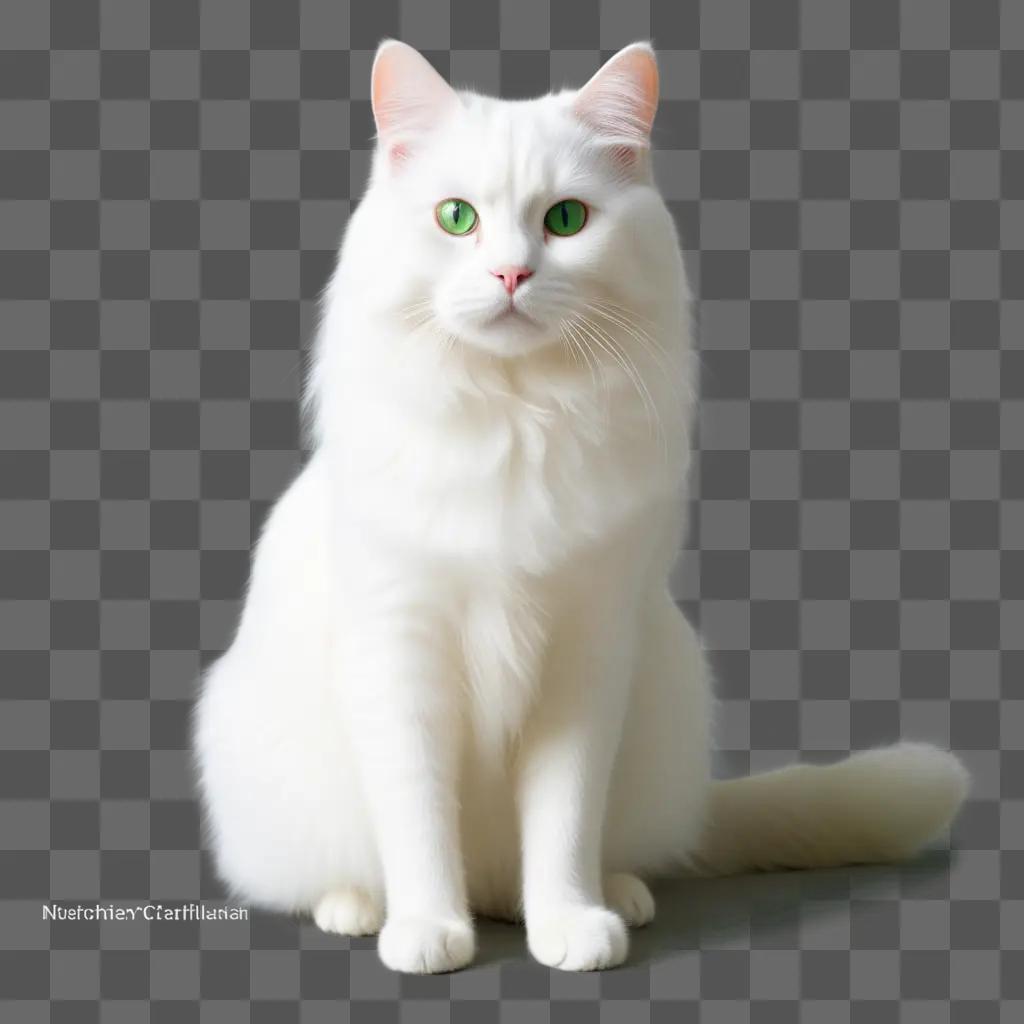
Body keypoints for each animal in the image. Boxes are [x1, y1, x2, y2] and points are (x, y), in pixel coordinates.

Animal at [192, 41, 966, 974]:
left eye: (565, 221)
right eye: (457, 218)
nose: (511, 273)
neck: (517, 414)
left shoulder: (589, 650)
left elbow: (562, 819)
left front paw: (567, 923)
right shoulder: (400, 648)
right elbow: (418, 818)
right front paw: (429, 930)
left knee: (587, 855)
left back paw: (610, 897)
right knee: (336, 872)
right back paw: (362, 909)